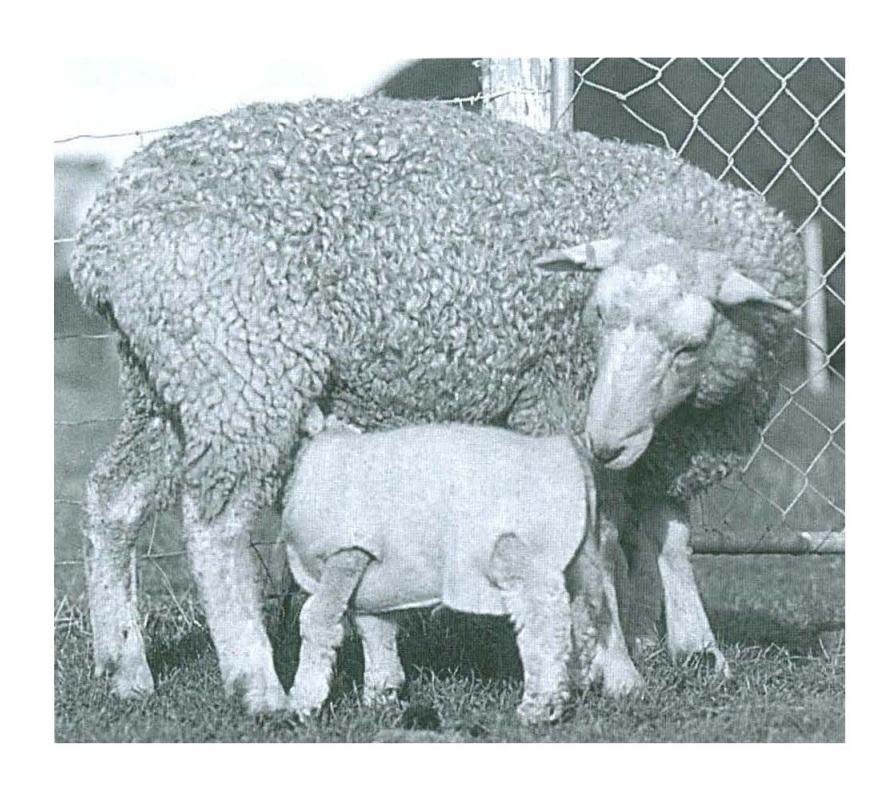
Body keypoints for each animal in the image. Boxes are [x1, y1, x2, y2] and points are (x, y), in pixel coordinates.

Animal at [281, 423, 643, 724]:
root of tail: (570, 454)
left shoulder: (346, 551)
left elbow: (317, 621)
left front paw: (303, 702)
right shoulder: (375, 582)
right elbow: (376, 631)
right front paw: (382, 695)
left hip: (521, 552)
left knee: (545, 623)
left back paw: (540, 706)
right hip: (573, 559)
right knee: (583, 616)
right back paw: (577, 683)